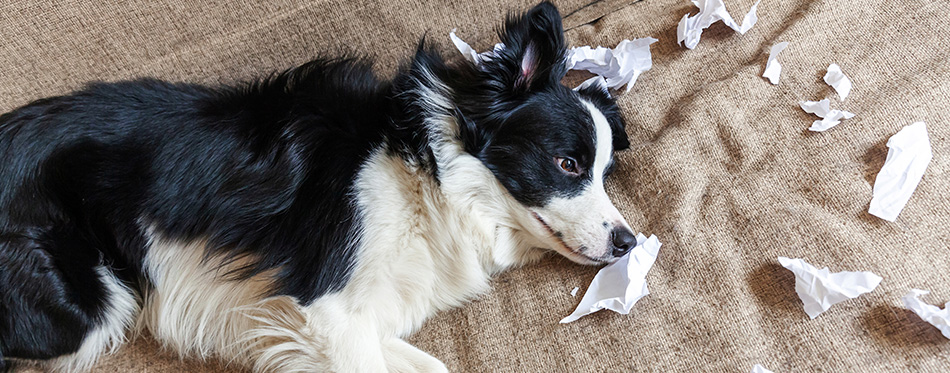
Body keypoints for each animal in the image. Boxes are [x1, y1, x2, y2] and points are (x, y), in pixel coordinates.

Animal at [1, 2, 640, 370]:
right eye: (568, 163)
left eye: (605, 171)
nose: (628, 242)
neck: (429, 177)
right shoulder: (324, 313)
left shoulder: (357, 318)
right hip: (93, 305)